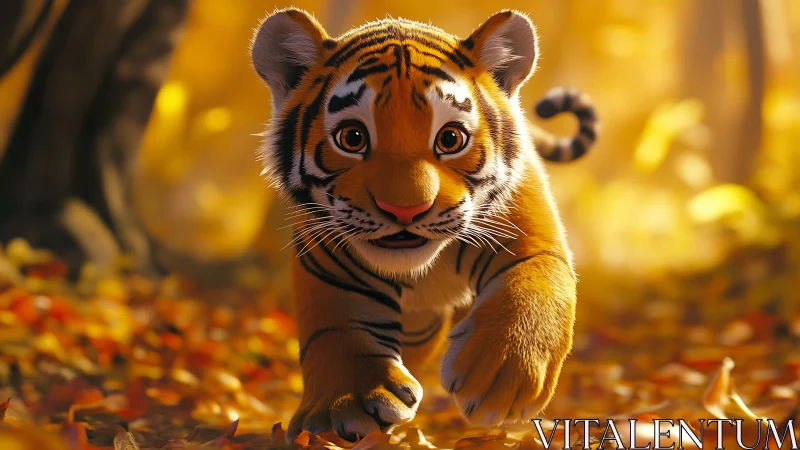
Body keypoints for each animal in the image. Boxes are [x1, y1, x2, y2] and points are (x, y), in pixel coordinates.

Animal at [250, 8, 599, 442]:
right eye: (352, 138)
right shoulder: (328, 266)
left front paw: (500, 376)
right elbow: (336, 332)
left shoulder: (528, 240)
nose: (405, 210)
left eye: (450, 139)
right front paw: (345, 405)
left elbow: (535, 290)